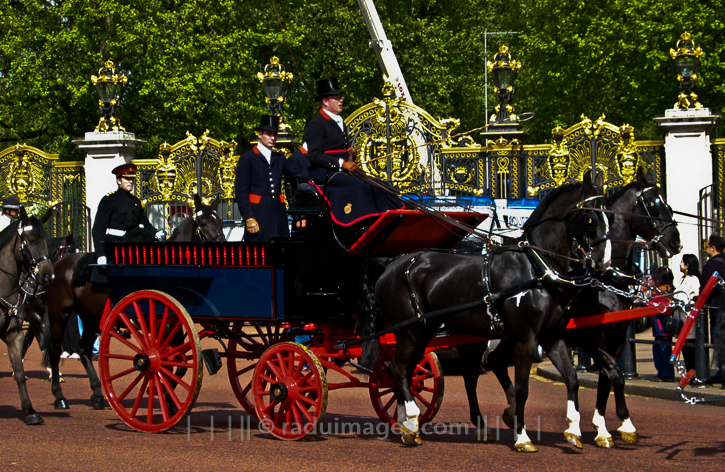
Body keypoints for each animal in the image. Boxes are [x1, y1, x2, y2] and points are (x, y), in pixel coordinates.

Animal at [0, 209, 55, 424]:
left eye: (45, 240)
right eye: (31, 240)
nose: (48, 275)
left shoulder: (14, 334)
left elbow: (20, 373)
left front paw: (29, 410)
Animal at [42, 194, 223, 412]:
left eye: (221, 222)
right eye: (203, 223)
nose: (224, 247)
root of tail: (58, 264)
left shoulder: (175, 323)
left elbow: (179, 363)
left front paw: (166, 397)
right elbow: (168, 361)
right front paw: (161, 392)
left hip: (89, 317)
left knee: (83, 348)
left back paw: (97, 394)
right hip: (59, 314)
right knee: (55, 351)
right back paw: (59, 396)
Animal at [360, 173, 608, 450]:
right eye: (591, 219)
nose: (603, 261)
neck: (536, 268)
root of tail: (390, 263)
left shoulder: (551, 337)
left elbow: (571, 378)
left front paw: (574, 430)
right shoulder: (525, 339)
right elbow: (522, 388)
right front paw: (522, 437)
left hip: (421, 331)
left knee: (406, 371)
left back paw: (407, 426)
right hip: (411, 330)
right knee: (398, 370)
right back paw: (411, 421)